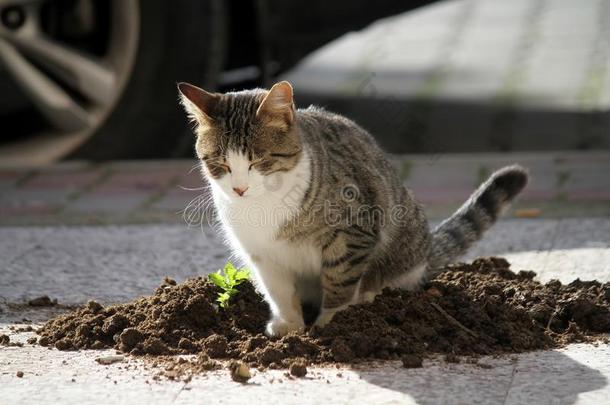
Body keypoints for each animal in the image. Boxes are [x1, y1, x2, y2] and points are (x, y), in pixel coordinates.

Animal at [177, 80, 528, 336]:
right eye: (220, 163)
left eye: (259, 161)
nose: (239, 188)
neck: (264, 206)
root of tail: (428, 251)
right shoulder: (261, 254)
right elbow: (278, 290)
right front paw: (291, 326)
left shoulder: (352, 233)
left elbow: (340, 279)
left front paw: (330, 324)